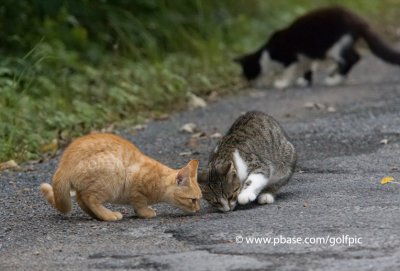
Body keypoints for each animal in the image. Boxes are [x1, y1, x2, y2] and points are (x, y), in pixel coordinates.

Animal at [39, 133, 202, 221]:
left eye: (199, 199)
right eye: (192, 200)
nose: (198, 209)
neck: (159, 181)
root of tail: (64, 163)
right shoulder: (135, 187)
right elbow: (140, 202)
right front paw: (146, 212)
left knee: (81, 199)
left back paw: (97, 216)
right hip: (113, 175)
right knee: (89, 198)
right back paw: (108, 215)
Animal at [234, 6, 400, 89]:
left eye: (247, 73)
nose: (250, 84)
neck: (266, 56)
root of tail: (359, 20)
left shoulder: (290, 57)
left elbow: (289, 71)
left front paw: (282, 83)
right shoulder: (305, 57)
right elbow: (308, 69)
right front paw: (305, 82)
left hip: (334, 45)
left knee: (350, 59)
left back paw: (335, 80)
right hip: (342, 43)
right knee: (355, 57)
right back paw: (335, 75)